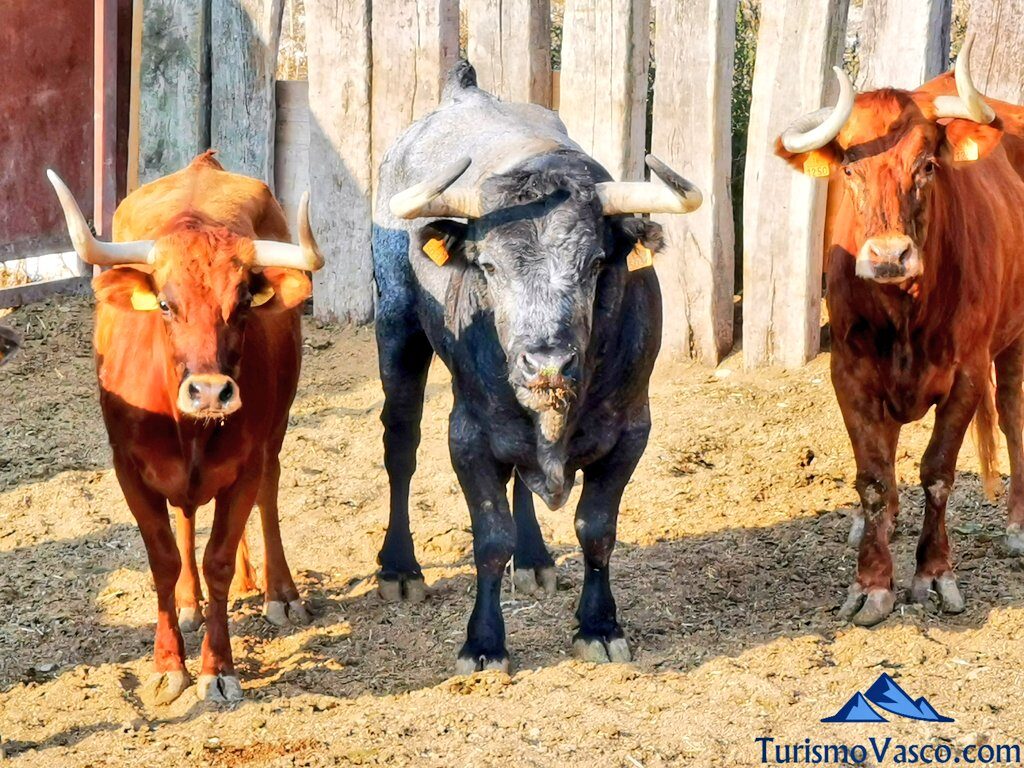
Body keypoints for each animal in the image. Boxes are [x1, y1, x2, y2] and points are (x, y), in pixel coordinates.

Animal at [47, 151, 323, 702]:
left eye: (242, 302)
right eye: (165, 304)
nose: (211, 392)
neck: (190, 431)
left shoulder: (244, 466)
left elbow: (219, 557)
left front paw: (218, 669)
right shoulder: (129, 470)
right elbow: (164, 558)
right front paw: (169, 663)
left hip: (277, 428)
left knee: (269, 492)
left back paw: (279, 591)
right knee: (186, 515)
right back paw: (189, 600)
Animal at [373, 61, 701, 672]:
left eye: (595, 262)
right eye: (488, 266)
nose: (546, 362)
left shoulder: (631, 431)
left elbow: (596, 528)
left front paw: (599, 625)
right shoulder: (468, 434)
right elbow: (489, 535)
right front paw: (483, 642)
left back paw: (534, 559)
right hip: (396, 325)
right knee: (400, 444)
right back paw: (400, 568)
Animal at [775, 36, 1024, 626]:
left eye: (927, 165)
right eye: (849, 171)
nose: (889, 256)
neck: (906, 312)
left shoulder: (967, 373)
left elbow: (937, 472)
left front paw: (933, 575)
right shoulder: (850, 373)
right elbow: (872, 476)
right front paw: (872, 581)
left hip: (1015, 340)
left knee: (1012, 415)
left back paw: (1016, 525)